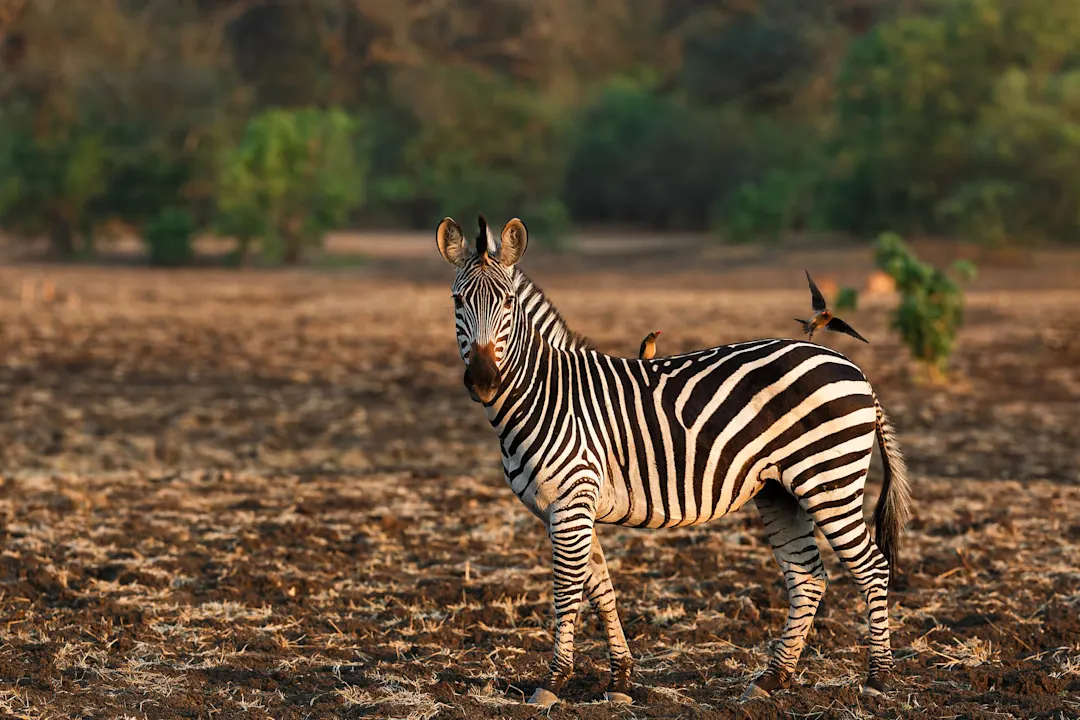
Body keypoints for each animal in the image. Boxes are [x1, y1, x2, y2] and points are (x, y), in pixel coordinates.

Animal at [436, 215, 911, 706]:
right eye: (457, 300)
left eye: (508, 302)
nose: (484, 381)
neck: (545, 393)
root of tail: (856, 371)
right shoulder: (569, 508)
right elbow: (601, 588)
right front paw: (620, 679)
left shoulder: (571, 502)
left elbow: (567, 592)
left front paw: (553, 683)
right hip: (781, 491)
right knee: (808, 578)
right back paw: (773, 679)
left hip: (829, 480)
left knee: (872, 567)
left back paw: (878, 678)